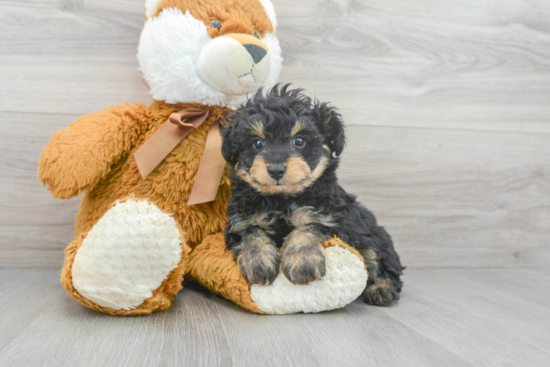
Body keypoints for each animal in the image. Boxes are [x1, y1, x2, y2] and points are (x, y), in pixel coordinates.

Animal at [222, 85, 408, 306]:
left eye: (299, 140)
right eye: (257, 143)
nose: (276, 170)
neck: (282, 199)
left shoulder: (333, 219)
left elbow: (309, 227)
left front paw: (302, 261)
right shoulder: (239, 220)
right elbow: (251, 231)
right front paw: (258, 260)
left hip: (371, 235)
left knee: (379, 261)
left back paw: (382, 289)